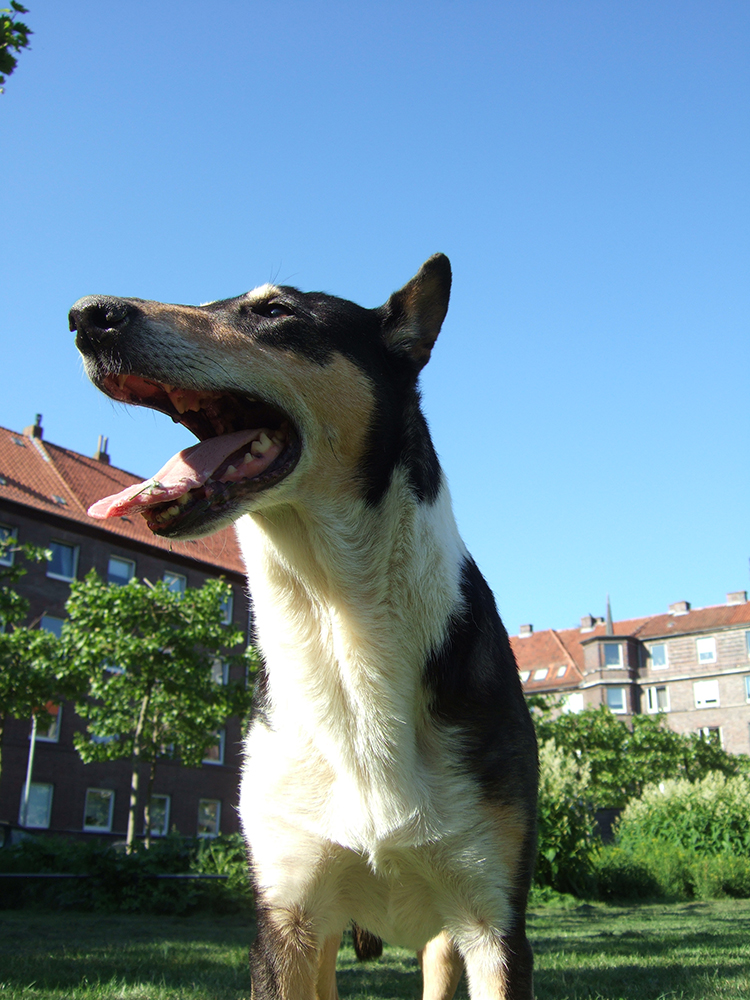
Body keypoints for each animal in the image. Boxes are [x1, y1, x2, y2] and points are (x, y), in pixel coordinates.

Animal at [70, 258, 540, 1000]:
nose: (87, 315)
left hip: (446, 936)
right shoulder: (287, 918)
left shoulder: (494, 924)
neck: (338, 623)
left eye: (275, 311)